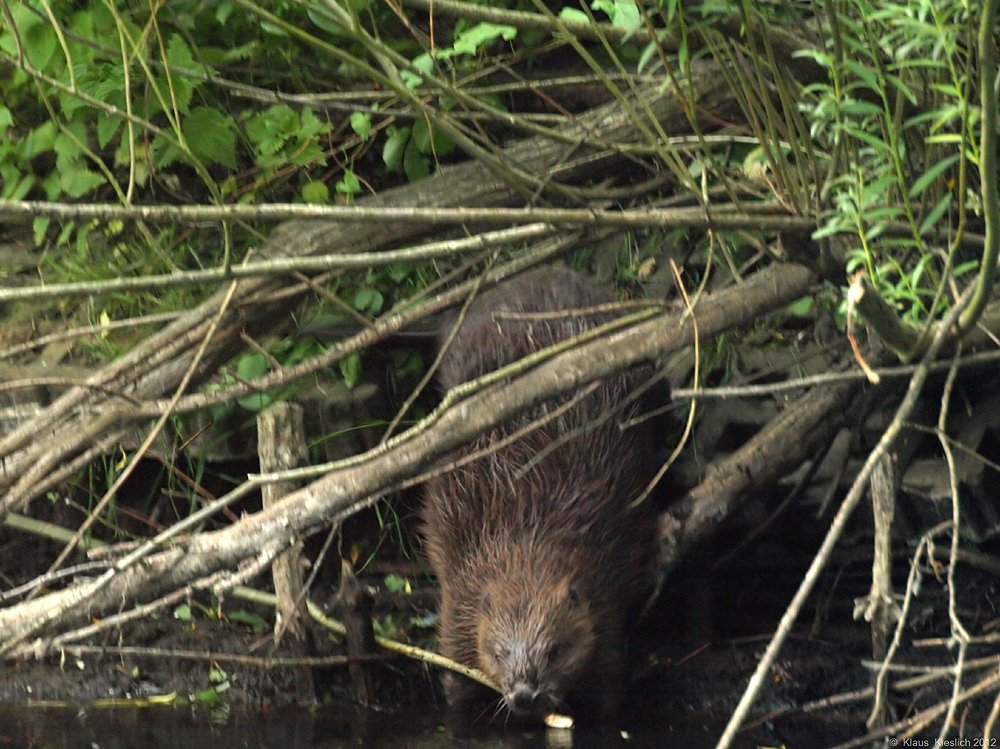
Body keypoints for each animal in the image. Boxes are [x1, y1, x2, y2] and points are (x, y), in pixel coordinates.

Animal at [424, 268, 664, 720]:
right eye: (499, 652)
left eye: (555, 650)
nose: (525, 694)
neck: (522, 534)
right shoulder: (458, 585)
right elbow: (454, 659)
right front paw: (459, 701)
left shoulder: (602, 578)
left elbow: (608, 664)